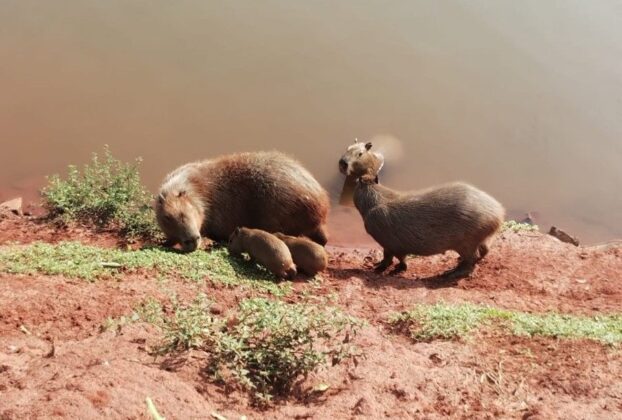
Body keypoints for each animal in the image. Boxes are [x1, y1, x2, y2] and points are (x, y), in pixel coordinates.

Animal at [354, 173, 505, 277]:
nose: (358, 178)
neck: (377, 198)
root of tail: (498, 214)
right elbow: (397, 257)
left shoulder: (389, 242)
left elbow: (392, 257)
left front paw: (379, 268)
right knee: (484, 251)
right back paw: (459, 260)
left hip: (466, 243)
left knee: (471, 261)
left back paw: (449, 273)